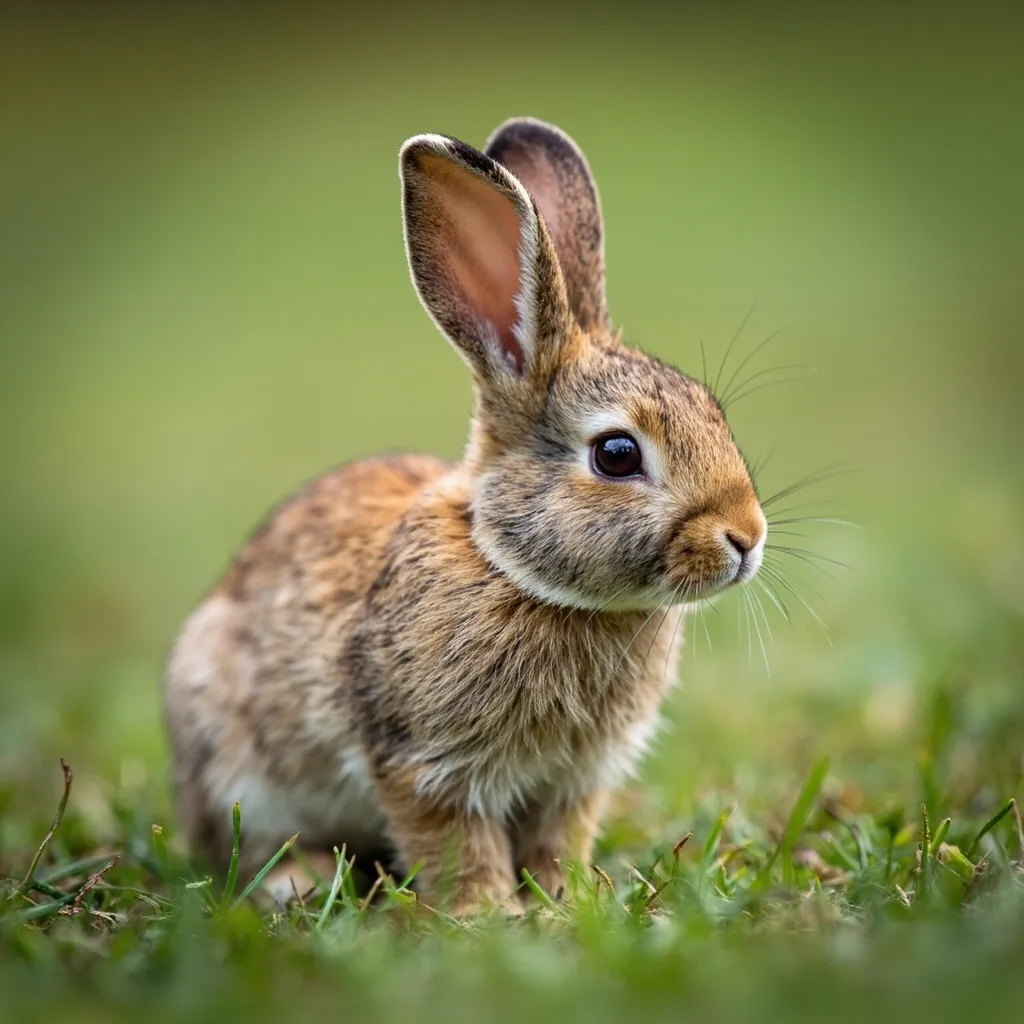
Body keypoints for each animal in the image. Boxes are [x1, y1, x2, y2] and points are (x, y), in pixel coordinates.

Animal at [164, 116, 767, 916]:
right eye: (615, 454)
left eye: (714, 413)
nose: (746, 538)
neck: (513, 568)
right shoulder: (425, 762)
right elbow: (456, 843)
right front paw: (485, 916)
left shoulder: (574, 780)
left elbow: (558, 838)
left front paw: (568, 899)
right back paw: (302, 879)